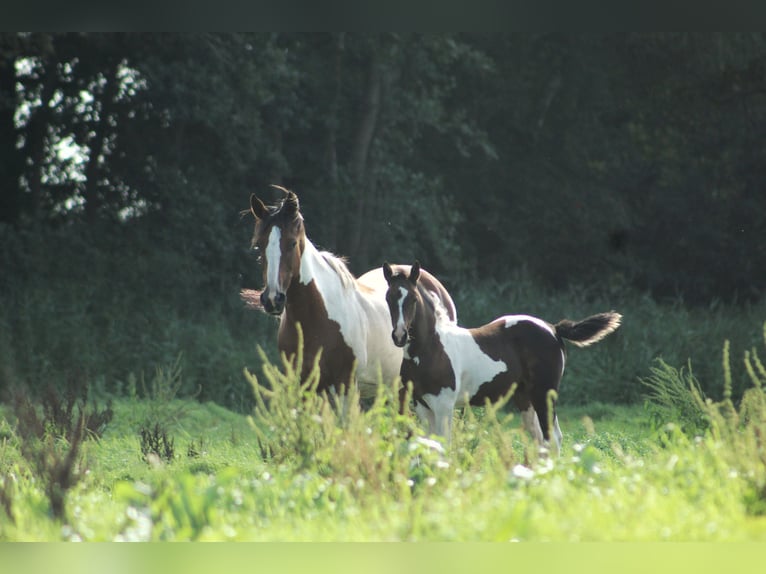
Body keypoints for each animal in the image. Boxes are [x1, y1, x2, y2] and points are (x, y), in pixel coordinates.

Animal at [242, 191, 456, 398]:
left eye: (292, 243)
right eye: (258, 245)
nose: (272, 299)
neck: (316, 317)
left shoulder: (344, 385)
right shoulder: (303, 386)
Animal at [384, 260, 624, 454]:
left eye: (413, 299)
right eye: (388, 298)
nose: (399, 335)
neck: (431, 349)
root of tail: (552, 329)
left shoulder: (444, 404)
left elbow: (444, 446)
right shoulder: (422, 404)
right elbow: (430, 446)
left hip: (544, 393)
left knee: (552, 438)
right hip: (525, 397)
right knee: (539, 439)